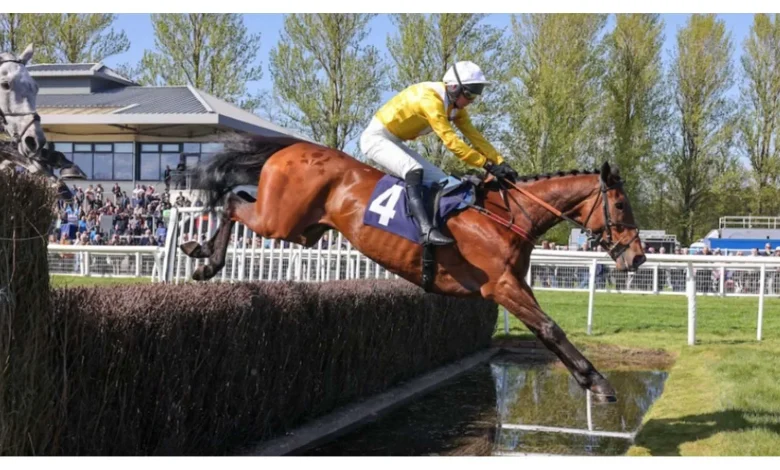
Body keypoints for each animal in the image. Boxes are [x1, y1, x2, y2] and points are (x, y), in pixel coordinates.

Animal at [178, 136, 646, 402]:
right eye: (622, 205)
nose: (638, 257)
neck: (505, 216)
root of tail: (289, 149)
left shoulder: (515, 284)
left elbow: (546, 329)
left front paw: (590, 378)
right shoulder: (500, 285)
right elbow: (550, 328)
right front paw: (598, 382)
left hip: (303, 229)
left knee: (237, 198)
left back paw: (201, 252)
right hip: (280, 220)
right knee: (233, 202)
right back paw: (205, 257)